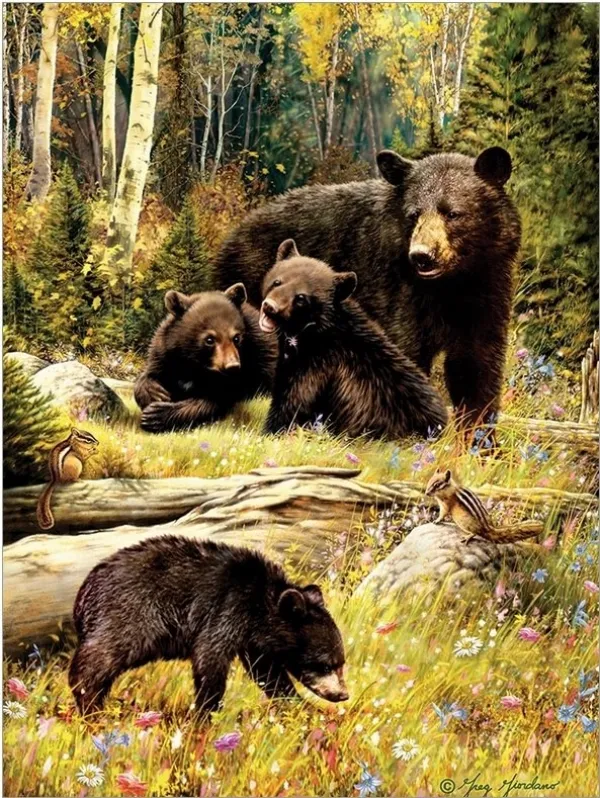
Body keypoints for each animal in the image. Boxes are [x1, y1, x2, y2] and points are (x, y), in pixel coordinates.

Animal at [68, 536, 348, 717]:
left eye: (341, 663)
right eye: (325, 664)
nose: (342, 695)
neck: (259, 605)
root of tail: (83, 592)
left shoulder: (254, 641)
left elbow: (268, 673)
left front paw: (298, 706)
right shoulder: (227, 609)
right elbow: (210, 658)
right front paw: (207, 712)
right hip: (128, 614)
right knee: (99, 657)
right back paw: (89, 704)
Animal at [134, 283, 276, 433]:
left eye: (236, 337)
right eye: (209, 339)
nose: (232, 366)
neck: (196, 365)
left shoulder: (259, 353)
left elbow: (214, 401)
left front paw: (156, 415)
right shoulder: (165, 352)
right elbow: (152, 371)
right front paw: (154, 393)